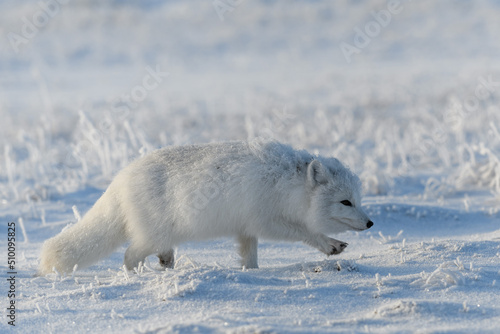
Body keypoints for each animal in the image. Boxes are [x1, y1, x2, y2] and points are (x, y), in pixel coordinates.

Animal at [38, 140, 372, 276]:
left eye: (359, 199)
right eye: (346, 202)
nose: (370, 223)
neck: (286, 180)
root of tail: (119, 180)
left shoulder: (246, 228)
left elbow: (249, 256)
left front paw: (251, 273)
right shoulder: (266, 221)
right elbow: (306, 232)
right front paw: (330, 245)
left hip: (161, 237)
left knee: (156, 254)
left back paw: (166, 265)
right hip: (153, 235)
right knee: (129, 255)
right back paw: (139, 276)